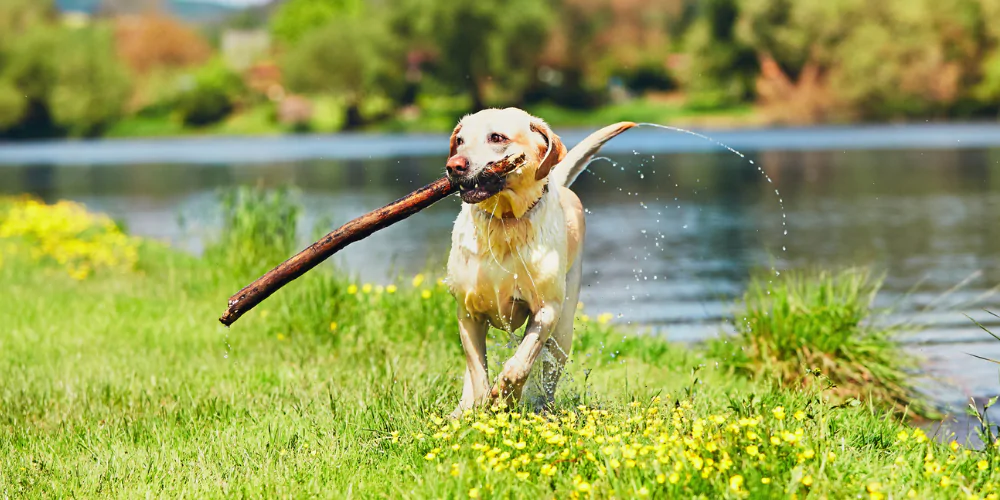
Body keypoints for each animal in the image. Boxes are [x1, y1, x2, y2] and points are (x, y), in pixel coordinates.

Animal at [444, 107, 632, 416]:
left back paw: (543, 407)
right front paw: (479, 405)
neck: (505, 222)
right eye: (459, 141)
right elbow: (477, 371)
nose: (454, 166)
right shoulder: (468, 314)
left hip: (563, 330)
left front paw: (506, 396)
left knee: (549, 371)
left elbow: (520, 363)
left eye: (497, 137)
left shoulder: (547, 310)